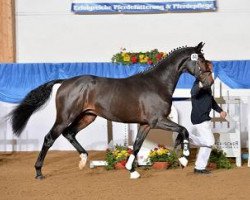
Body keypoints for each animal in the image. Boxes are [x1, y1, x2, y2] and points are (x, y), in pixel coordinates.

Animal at [9, 42, 213, 180]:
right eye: (202, 60)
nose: (209, 82)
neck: (157, 83)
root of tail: (65, 81)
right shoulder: (157, 120)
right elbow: (183, 130)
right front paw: (184, 158)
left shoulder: (145, 124)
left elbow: (137, 145)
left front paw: (132, 170)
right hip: (65, 117)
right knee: (49, 138)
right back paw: (38, 172)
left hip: (87, 116)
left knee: (70, 133)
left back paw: (83, 159)